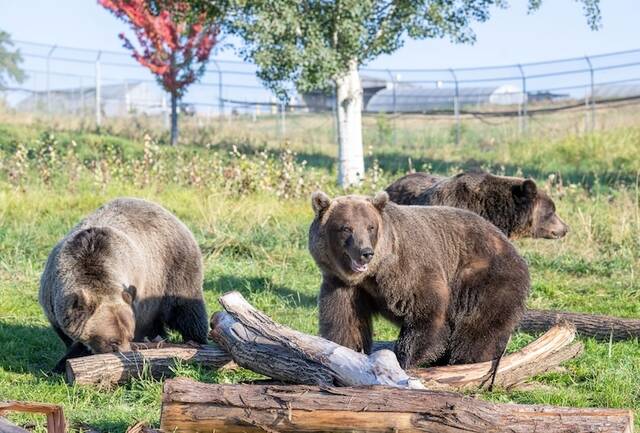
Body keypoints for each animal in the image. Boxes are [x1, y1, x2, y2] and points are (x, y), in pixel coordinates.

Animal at [38, 197, 208, 370]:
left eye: (129, 336)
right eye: (114, 342)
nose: (126, 355)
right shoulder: (53, 301)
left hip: (172, 270)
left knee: (186, 310)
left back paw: (196, 341)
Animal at [308, 192, 528, 368]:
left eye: (370, 227)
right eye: (346, 228)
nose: (365, 252)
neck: (373, 272)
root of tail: (512, 247)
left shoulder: (408, 270)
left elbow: (425, 312)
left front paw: (406, 359)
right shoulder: (342, 284)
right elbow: (346, 322)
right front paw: (348, 351)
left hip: (484, 276)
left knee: (478, 326)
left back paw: (466, 359)